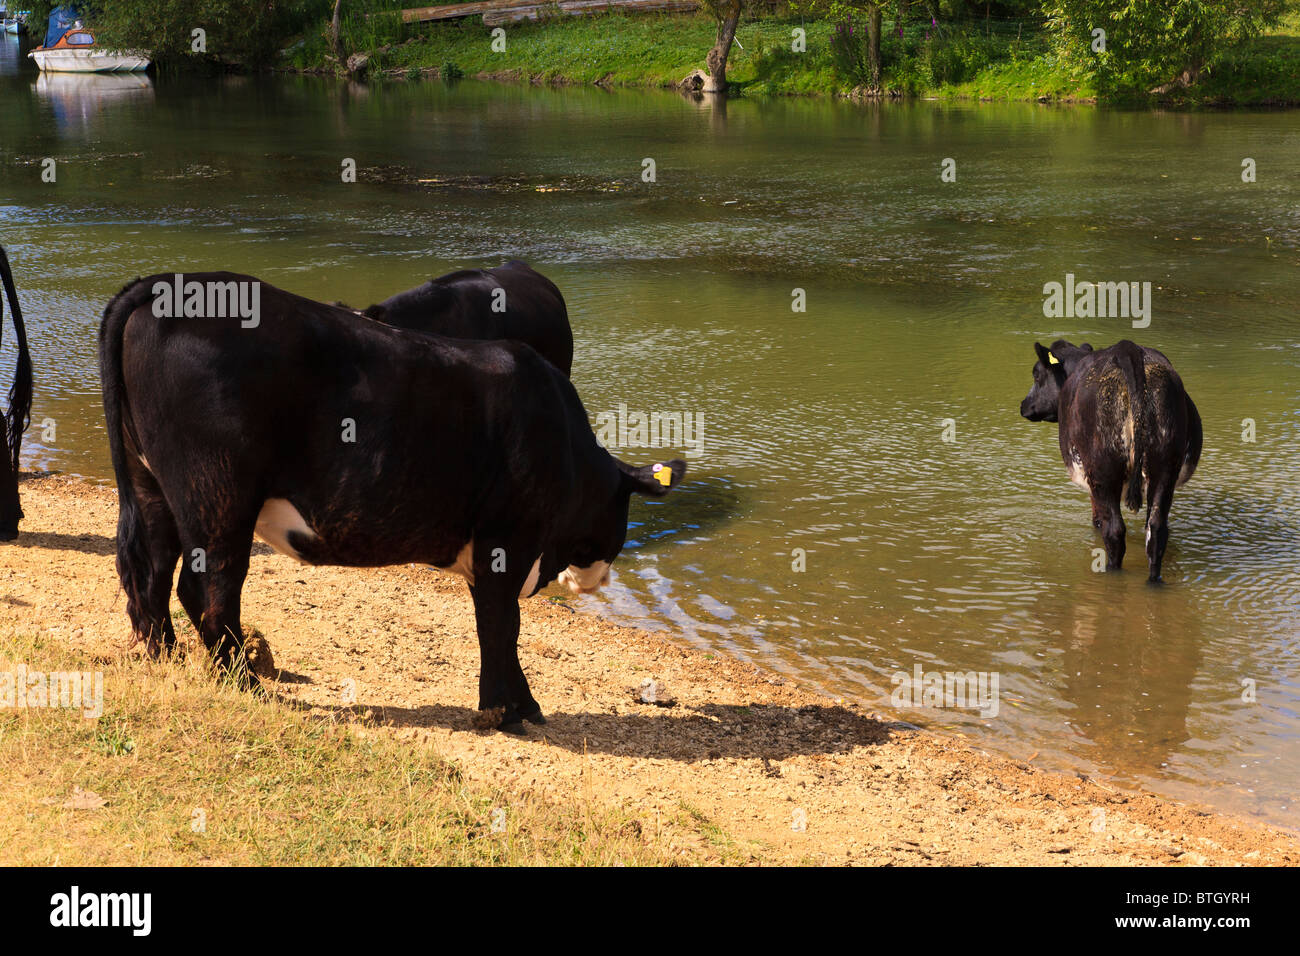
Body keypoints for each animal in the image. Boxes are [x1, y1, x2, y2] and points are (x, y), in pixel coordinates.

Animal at [100, 273, 686, 738]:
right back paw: (244, 683)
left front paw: (520, 705)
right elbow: (501, 627)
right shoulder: (506, 543)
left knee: (152, 572)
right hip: (221, 501)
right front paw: (504, 712)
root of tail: (162, 284)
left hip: (154, 488)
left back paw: (165, 655)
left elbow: (500, 627)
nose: (598, 578)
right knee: (209, 590)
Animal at [1019, 340, 1201, 587]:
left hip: (1103, 473)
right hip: (1165, 469)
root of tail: (1129, 350)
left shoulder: (1091, 481)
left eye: (1036, 374)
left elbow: (1097, 520)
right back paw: (1153, 581)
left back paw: (1111, 572)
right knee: (1156, 529)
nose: (1024, 405)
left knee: (1114, 531)